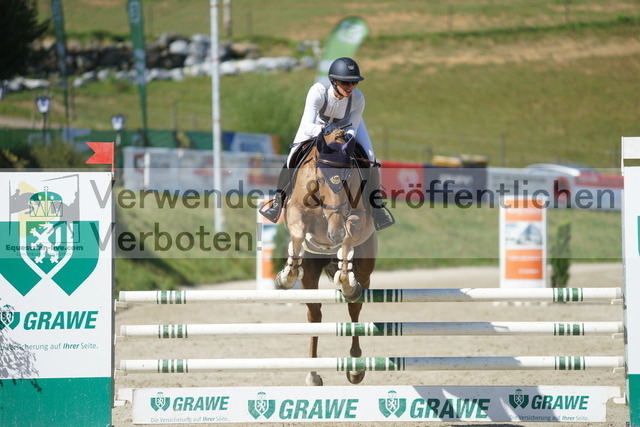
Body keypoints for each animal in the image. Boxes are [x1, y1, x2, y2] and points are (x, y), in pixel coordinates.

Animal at [274, 135, 376, 388]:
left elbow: (349, 235)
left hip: (365, 270)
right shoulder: (294, 209)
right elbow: (298, 234)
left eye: (348, 178)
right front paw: (286, 276)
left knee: (354, 308)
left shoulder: (356, 216)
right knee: (315, 315)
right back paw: (312, 374)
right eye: (320, 178)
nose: (334, 234)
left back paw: (355, 369)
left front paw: (345, 277)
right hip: (311, 275)